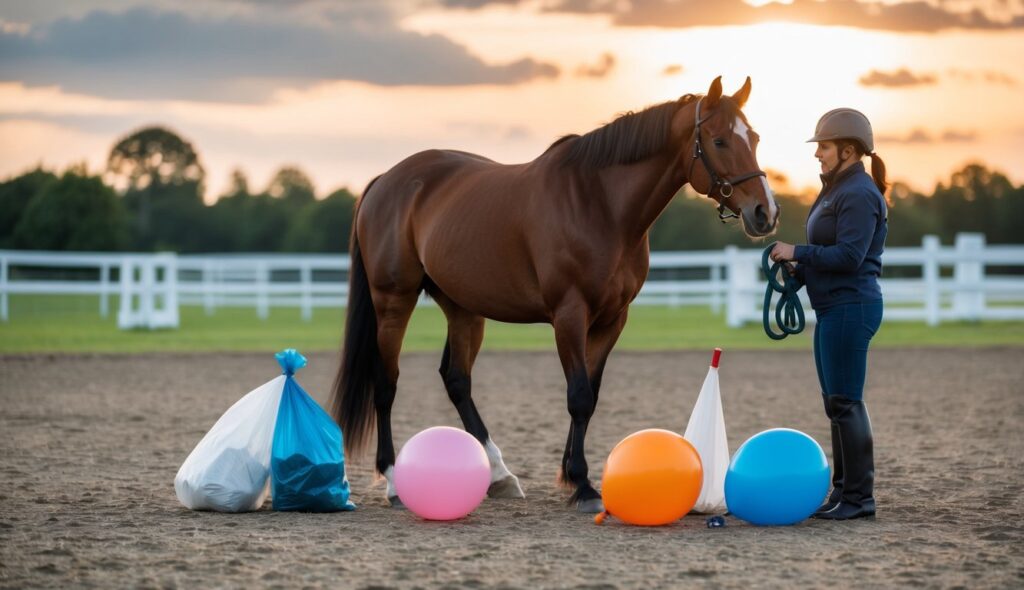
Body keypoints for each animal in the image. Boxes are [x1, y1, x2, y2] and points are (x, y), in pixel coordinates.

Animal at [331, 77, 778, 512]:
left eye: (755, 138)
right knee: (386, 382)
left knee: (457, 380)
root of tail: (385, 181)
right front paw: (582, 484)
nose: (765, 213)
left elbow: (590, 396)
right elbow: (578, 395)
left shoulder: (612, 319)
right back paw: (393, 481)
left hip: (462, 307)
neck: (600, 205)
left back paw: (500, 475)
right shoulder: (569, 314)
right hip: (394, 300)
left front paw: (571, 475)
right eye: (719, 141)